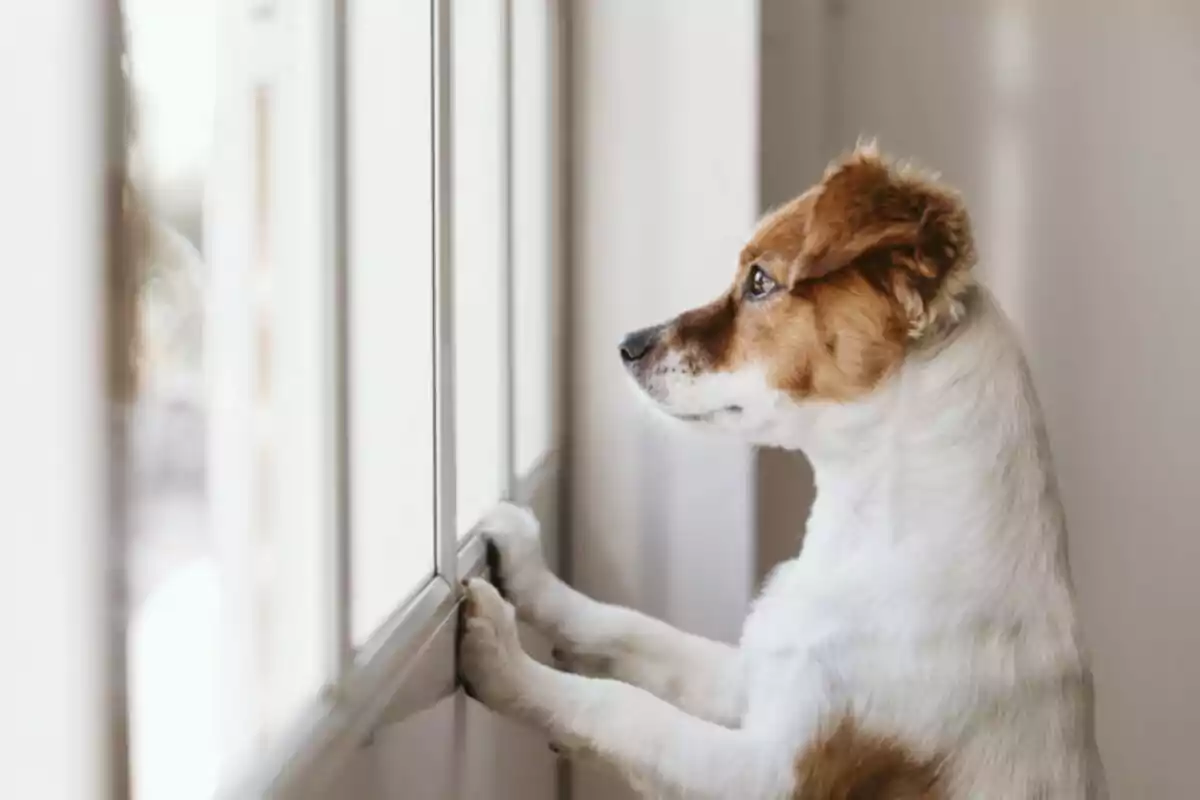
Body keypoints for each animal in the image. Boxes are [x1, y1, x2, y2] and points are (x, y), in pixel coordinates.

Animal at [456, 145, 1104, 800]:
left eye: (760, 282)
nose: (627, 345)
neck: (874, 539)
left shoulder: (771, 775)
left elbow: (622, 708)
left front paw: (504, 660)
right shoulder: (754, 678)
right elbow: (628, 628)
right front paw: (527, 569)